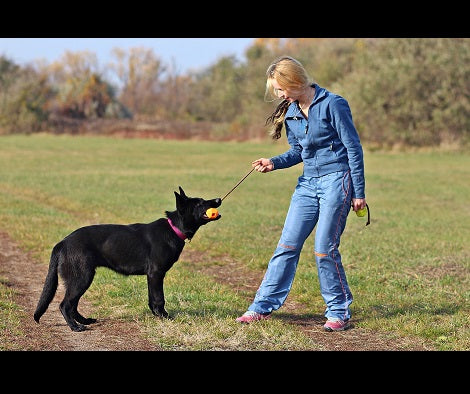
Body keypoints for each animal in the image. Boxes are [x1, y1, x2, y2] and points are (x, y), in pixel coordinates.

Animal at [34, 186, 221, 330]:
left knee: (72, 305)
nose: (219, 199)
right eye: (200, 203)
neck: (173, 228)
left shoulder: (152, 276)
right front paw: (164, 317)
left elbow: (152, 299)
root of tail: (63, 242)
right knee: (65, 305)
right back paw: (75, 327)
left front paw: (157, 315)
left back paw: (84, 321)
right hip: (81, 278)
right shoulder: (156, 274)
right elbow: (159, 298)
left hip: (82, 279)